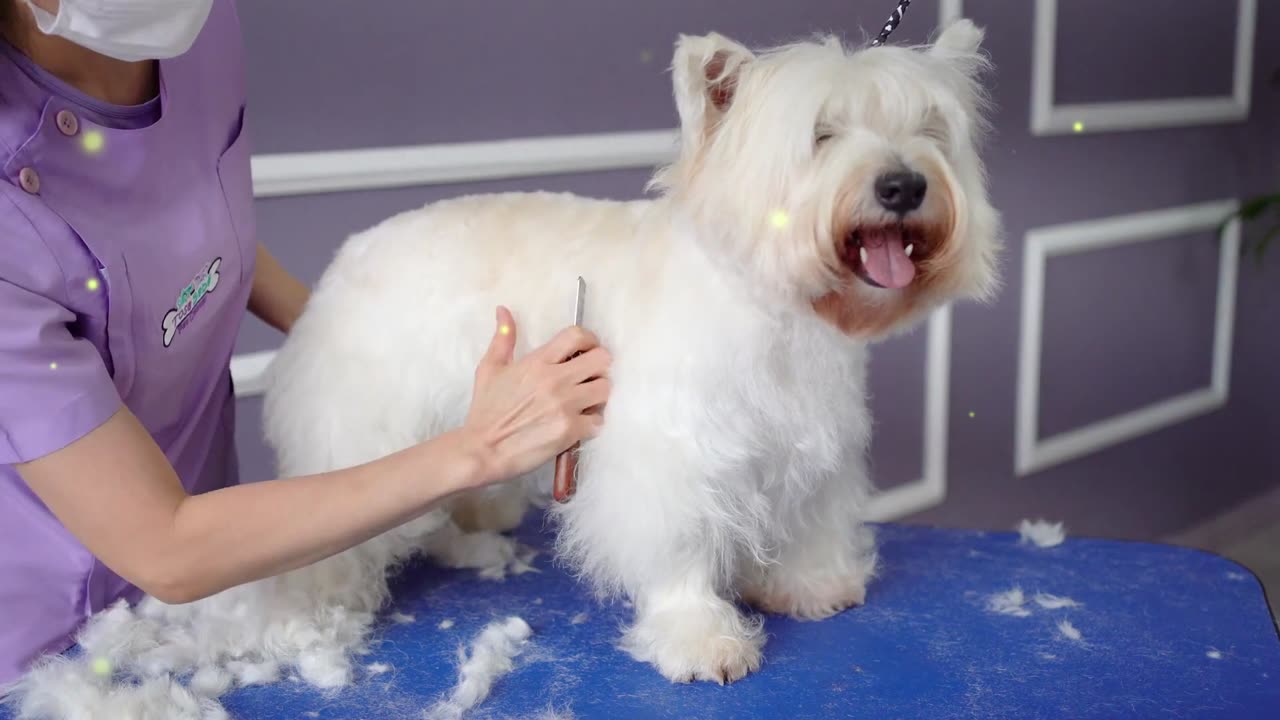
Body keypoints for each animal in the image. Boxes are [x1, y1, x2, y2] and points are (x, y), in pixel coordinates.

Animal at [7, 19, 998, 712]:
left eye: (929, 131)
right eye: (820, 135)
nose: (904, 184)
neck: (777, 314)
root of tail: (346, 256)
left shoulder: (808, 443)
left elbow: (805, 518)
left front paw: (812, 583)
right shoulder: (667, 458)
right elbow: (678, 551)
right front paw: (702, 639)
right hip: (364, 430)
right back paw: (322, 607)